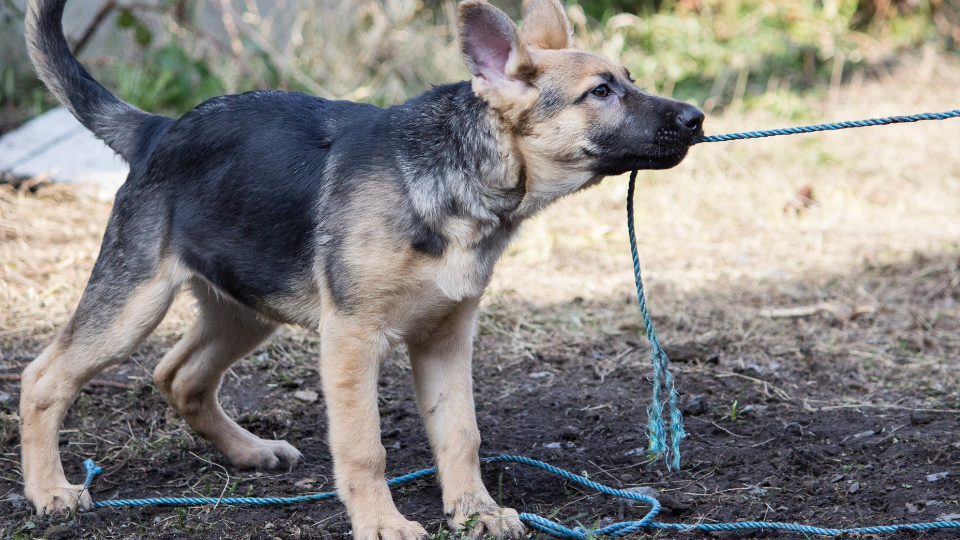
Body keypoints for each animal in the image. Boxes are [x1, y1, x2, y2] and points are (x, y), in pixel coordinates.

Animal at [18, 0, 700, 536]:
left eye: (629, 80)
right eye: (601, 92)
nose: (696, 118)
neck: (460, 180)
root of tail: (157, 130)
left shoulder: (446, 338)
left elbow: (461, 434)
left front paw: (475, 512)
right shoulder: (351, 337)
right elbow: (363, 446)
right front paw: (382, 523)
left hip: (247, 305)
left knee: (179, 374)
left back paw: (250, 452)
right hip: (132, 305)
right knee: (43, 377)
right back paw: (49, 492)